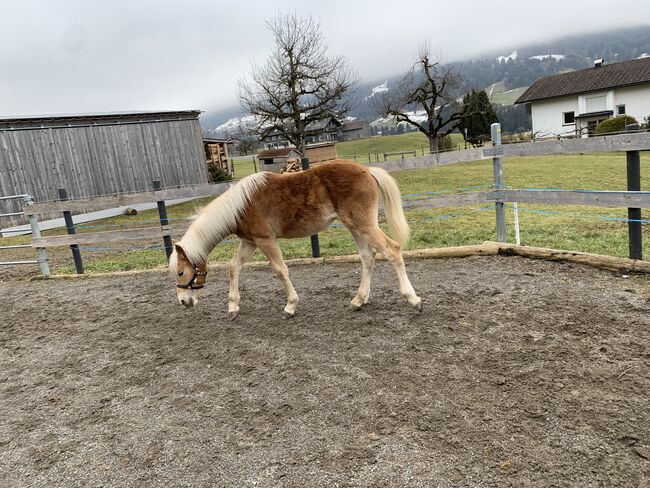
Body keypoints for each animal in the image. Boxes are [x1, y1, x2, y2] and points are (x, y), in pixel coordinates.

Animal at [168, 162, 420, 318]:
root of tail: (368, 170)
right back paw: (358, 300)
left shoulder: (266, 240)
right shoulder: (250, 242)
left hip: (364, 226)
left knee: (392, 250)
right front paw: (233, 306)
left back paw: (413, 298)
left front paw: (290, 306)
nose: (183, 301)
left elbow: (280, 270)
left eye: (181, 272)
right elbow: (234, 267)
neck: (240, 206)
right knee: (368, 257)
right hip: (356, 228)